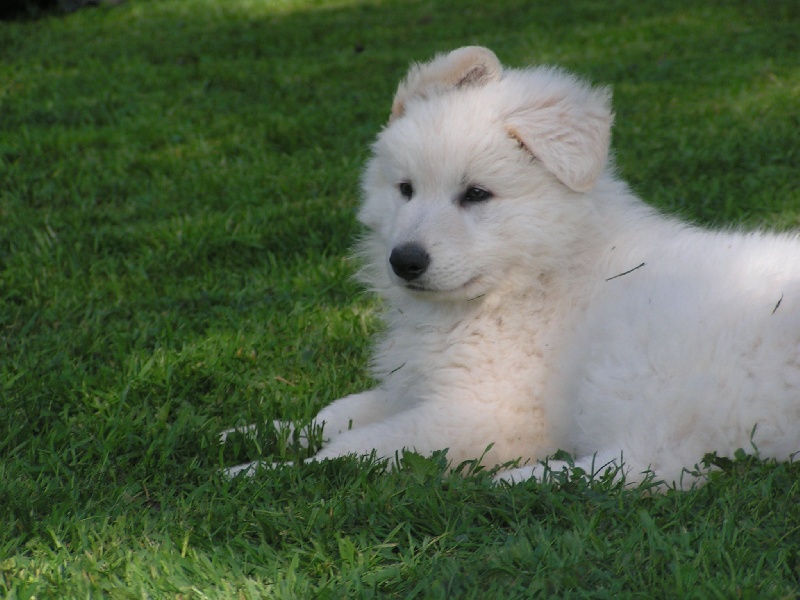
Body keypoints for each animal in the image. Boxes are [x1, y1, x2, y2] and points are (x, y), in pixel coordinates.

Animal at [225, 47, 800, 488]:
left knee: (648, 466)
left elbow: (357, 447)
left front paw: (263, 471)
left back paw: (514, 481)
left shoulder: (484, 412)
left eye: (477, 195)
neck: (530, 277)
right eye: (405, 189)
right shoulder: (417, 385)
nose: (404, 261)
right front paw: (258, 432)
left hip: (646, 370)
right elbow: (338, 413)